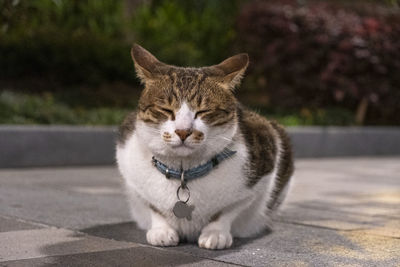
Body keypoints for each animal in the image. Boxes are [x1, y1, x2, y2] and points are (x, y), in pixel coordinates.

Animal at [115, 44, 294, 251]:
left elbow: (229, 210)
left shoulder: (266, 159)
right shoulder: (129, 169)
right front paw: (161, 230)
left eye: (203, 111)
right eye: (166, 110)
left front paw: (215, 233)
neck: (184, 172)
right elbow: (152, 206)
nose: (183, 131)